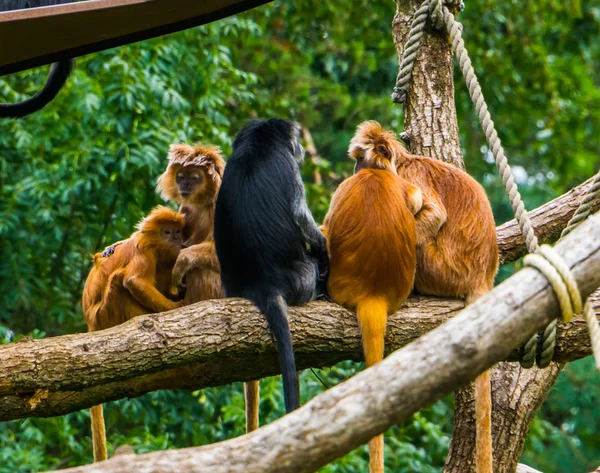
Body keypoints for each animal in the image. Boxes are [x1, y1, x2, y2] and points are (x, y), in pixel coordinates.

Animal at [81, 205, 185, 460]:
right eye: (167, 232)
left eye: (178, 231)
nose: (177, 240)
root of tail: (90, 324)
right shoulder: (145, 252)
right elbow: (134, 281)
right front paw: (177, 307)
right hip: (105, 315)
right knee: (119, 280)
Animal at [214, 118, 328, 412]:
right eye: (295, 141)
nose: (300, 147)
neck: (256, 146)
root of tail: (262, 285)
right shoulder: (288, 165)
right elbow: (301, 215)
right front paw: (323, 247)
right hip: (303, 280)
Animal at [324, 121, 422, 472]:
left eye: (357, 163)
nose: (355, 168)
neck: (377, 174)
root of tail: (373, 294)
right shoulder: (404, 186)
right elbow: (416, 199)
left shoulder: (345, 187)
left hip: (338, 286)